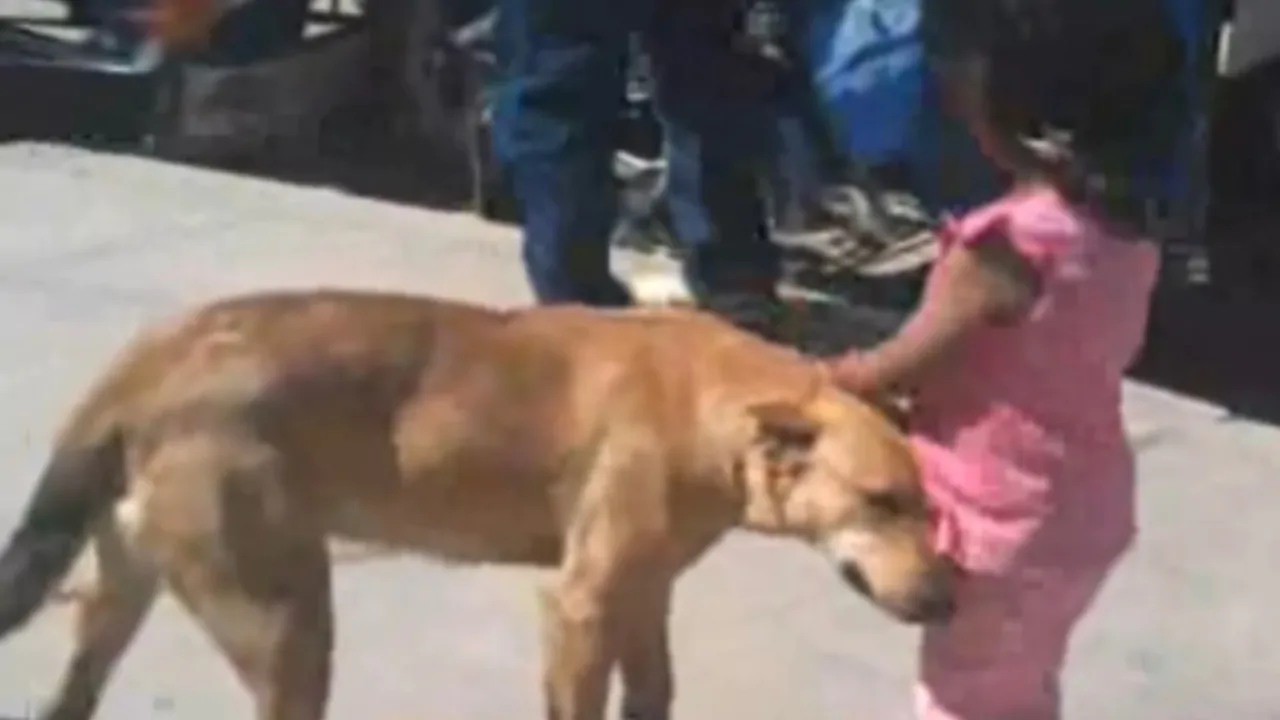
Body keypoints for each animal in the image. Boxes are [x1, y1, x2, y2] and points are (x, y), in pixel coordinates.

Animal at [0, 288, 952, 712]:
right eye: (880, 501)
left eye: (926, 503)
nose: (948, 601)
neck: (707, 398)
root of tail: (150, 362)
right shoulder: (580, 605)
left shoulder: (642, 596)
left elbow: (655, 690)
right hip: (286, 623)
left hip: (120, 593)